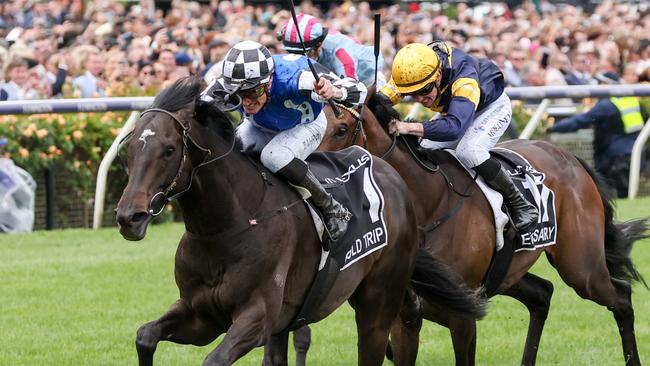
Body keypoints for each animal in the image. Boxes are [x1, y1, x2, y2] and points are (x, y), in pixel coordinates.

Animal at [115, 78, 480, 366]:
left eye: (168, 149)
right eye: (128, 150)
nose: (129, 217)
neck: (225, 226)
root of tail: (391, 174)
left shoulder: (256, 319)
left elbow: (214, 359)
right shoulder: (200, 314)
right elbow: (145, 335)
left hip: (378, 305)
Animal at [316, 92, 644, 366]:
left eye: (342, 129)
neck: (429, 201)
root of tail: (570, 157)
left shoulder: (461, 318)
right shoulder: (404, 319)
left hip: (581, 268)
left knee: (621, 296)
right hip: (510, 272)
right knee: (542, 294)